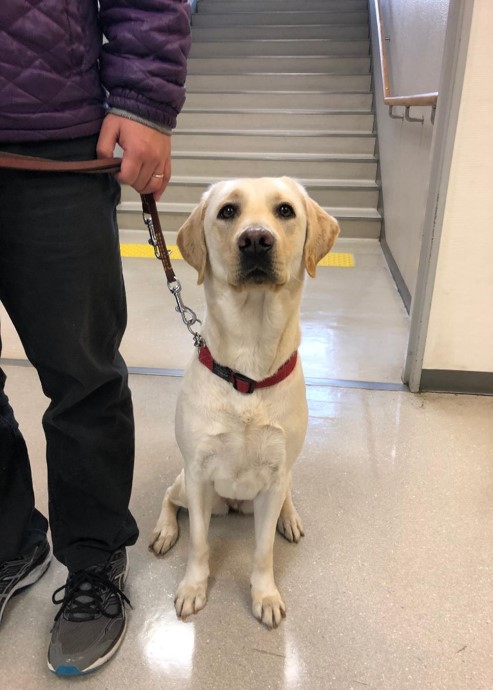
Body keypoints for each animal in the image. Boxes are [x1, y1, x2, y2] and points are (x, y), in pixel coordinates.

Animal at [150, 177, 339, 628]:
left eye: (285, 210)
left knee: (286, 495)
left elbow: (262, 551)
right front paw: (193, 588)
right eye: (228, 212)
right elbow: (199, 543)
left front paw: (265, 595)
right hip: (191, 487)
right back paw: (165, 530)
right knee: (169, 495)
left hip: (276, 483)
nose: (255, 240)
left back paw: (290, 518)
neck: (248, 372)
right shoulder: (199, 474)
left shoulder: (273, 478)